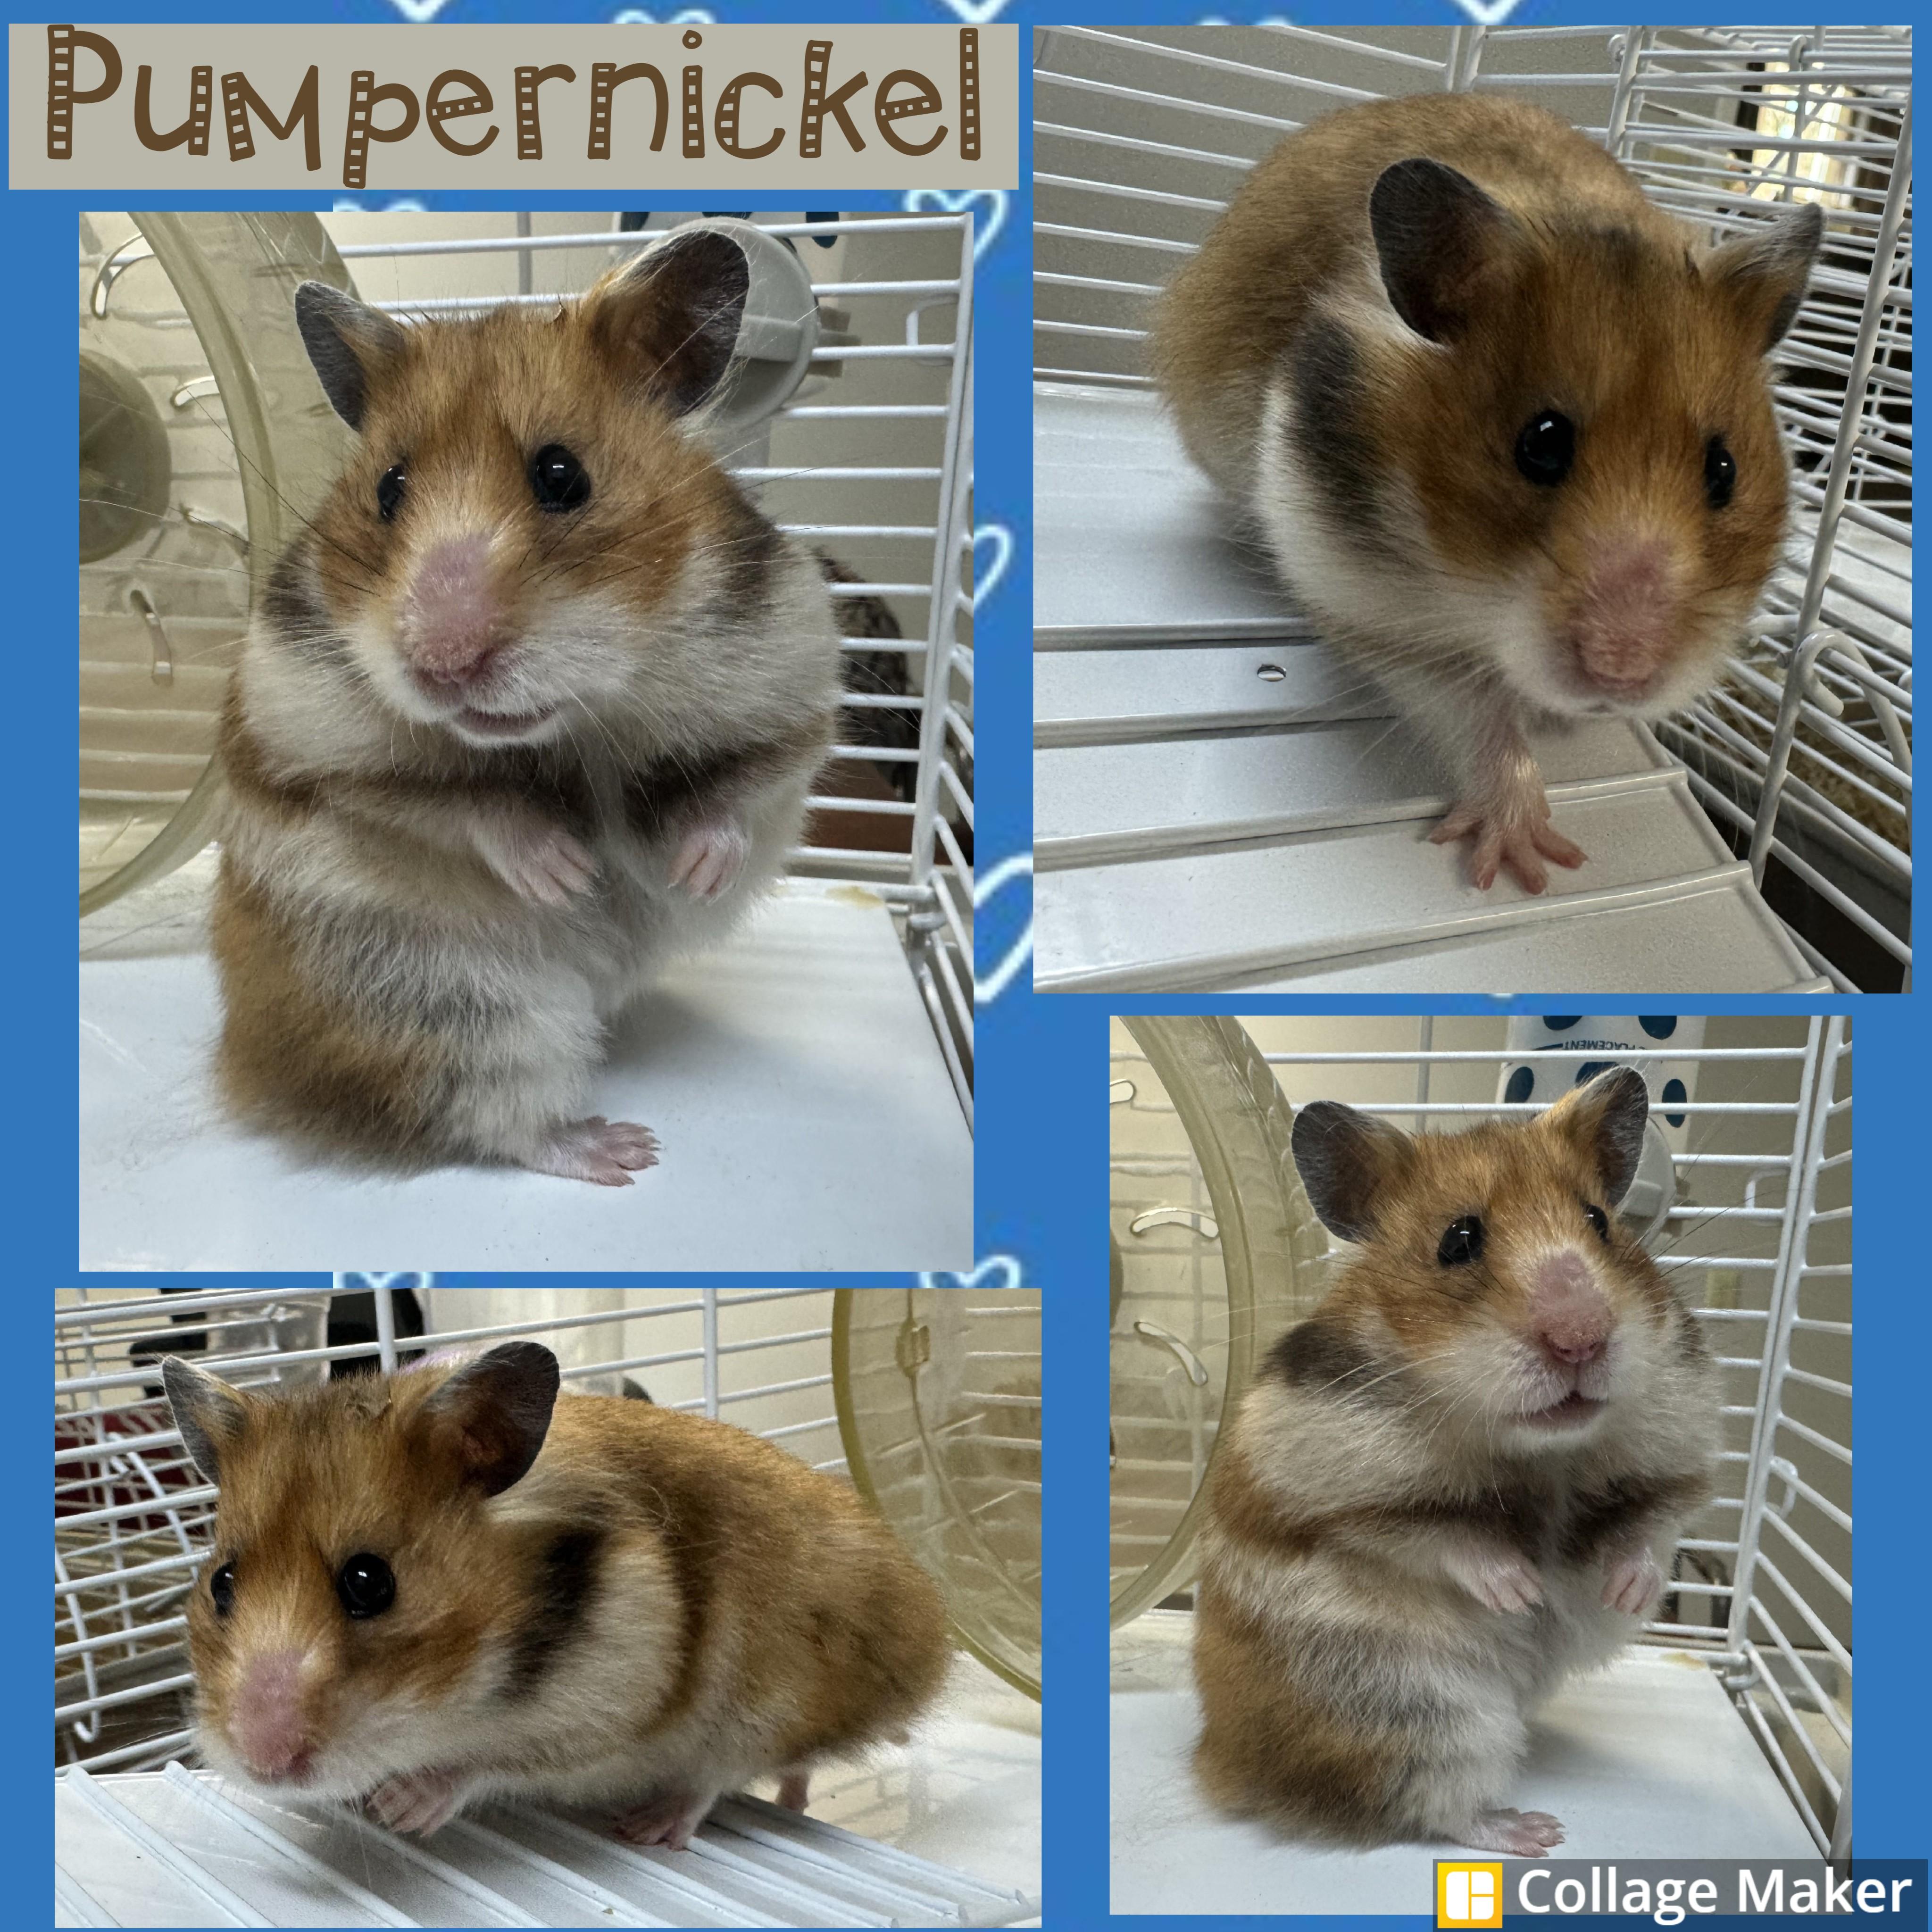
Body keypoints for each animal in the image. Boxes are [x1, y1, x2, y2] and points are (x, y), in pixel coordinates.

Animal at [161, 1341, 951, 1846]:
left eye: (369, 1582)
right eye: (221, 1583)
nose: (261, 1765)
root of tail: (934, 1635)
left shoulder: (604, 1701)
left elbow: (482, 1761)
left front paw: (401, 1809)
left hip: (768, 1699)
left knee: (721, 1776)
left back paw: (649, 1829)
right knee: (795, 1772)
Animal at [212, 225, 843, 1183]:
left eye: (562, 475)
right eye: (387, 489)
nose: (439, 663)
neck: (577, 725)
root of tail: (249, 1063)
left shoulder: (791, 697)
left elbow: (737, 790)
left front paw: (691, 873)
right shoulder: (315, 744)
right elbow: (462, 803)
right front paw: (568, 875)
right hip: (457, 1010)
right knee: (499, 1118)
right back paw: (622, 1152)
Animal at [1151, 94, 1822, 893]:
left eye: (1724, 471)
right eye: (1541, 443)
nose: (1621, 676)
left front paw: (1566, 726)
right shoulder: (1369, 603)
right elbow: (1475, 712)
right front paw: (1525, 860)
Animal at [1192, 1066, 1717, 1856]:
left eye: (1599, 1221)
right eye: (1458, 1239)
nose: (1583, 1339)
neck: (1540, 1453)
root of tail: (1222, 1762)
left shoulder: (1673, 1460)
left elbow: (1649, 1528)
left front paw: (1625, 1593)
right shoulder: (1334, 1494)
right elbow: (1443, 1535)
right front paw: (1522, 1592)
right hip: (1420, 1714)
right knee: (1435, 1806)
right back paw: (1535, 1832)